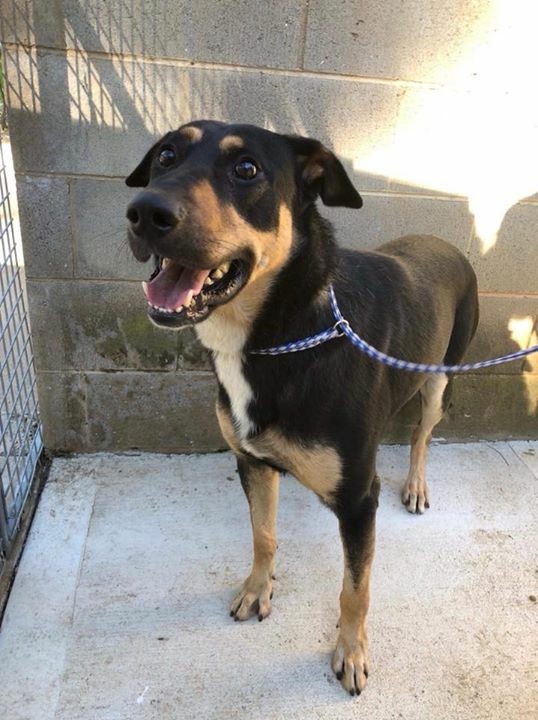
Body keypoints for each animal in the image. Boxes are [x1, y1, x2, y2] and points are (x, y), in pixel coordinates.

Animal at [125, 120, 479, 696]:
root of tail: (446, 241)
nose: (143, 212)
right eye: (165, 157)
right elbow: (263, 534)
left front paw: (351, 651)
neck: (277, 336)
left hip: (440, 377)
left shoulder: (358, 500)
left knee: (422, 434)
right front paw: (257, 588)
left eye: (247, 169)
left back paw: (416, 484)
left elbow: (355, 589)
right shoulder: (251, 461)